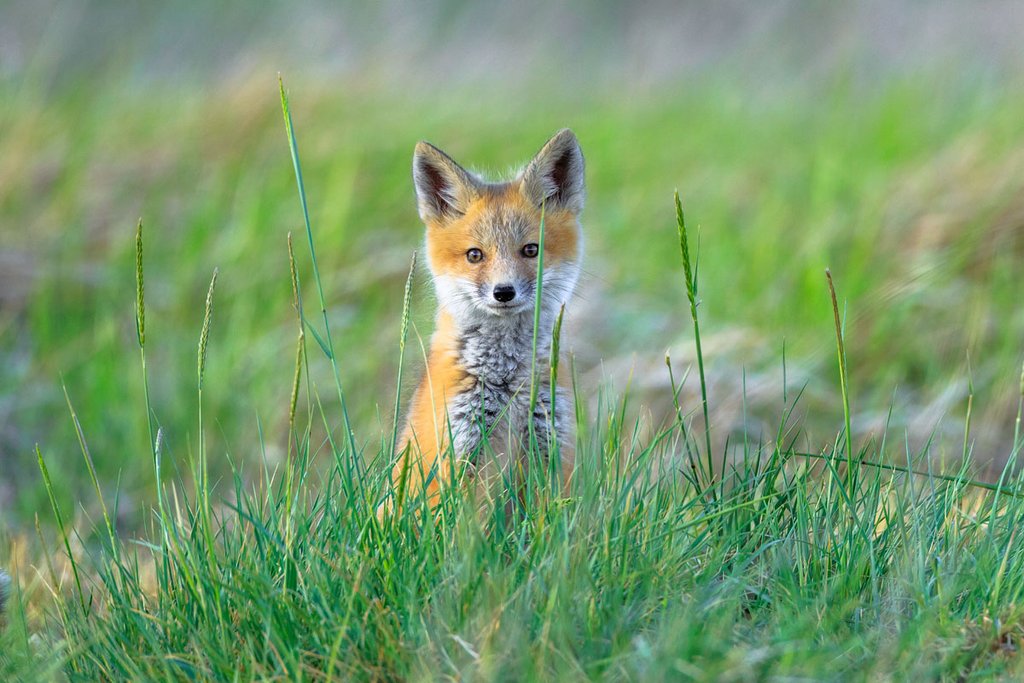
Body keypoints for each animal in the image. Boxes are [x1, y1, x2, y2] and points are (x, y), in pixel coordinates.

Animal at [380, 128, 585, 516]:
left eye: (531, 250)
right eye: (475, 255)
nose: (503, 292)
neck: (507, 382)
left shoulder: (549, 448)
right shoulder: (458, 455)